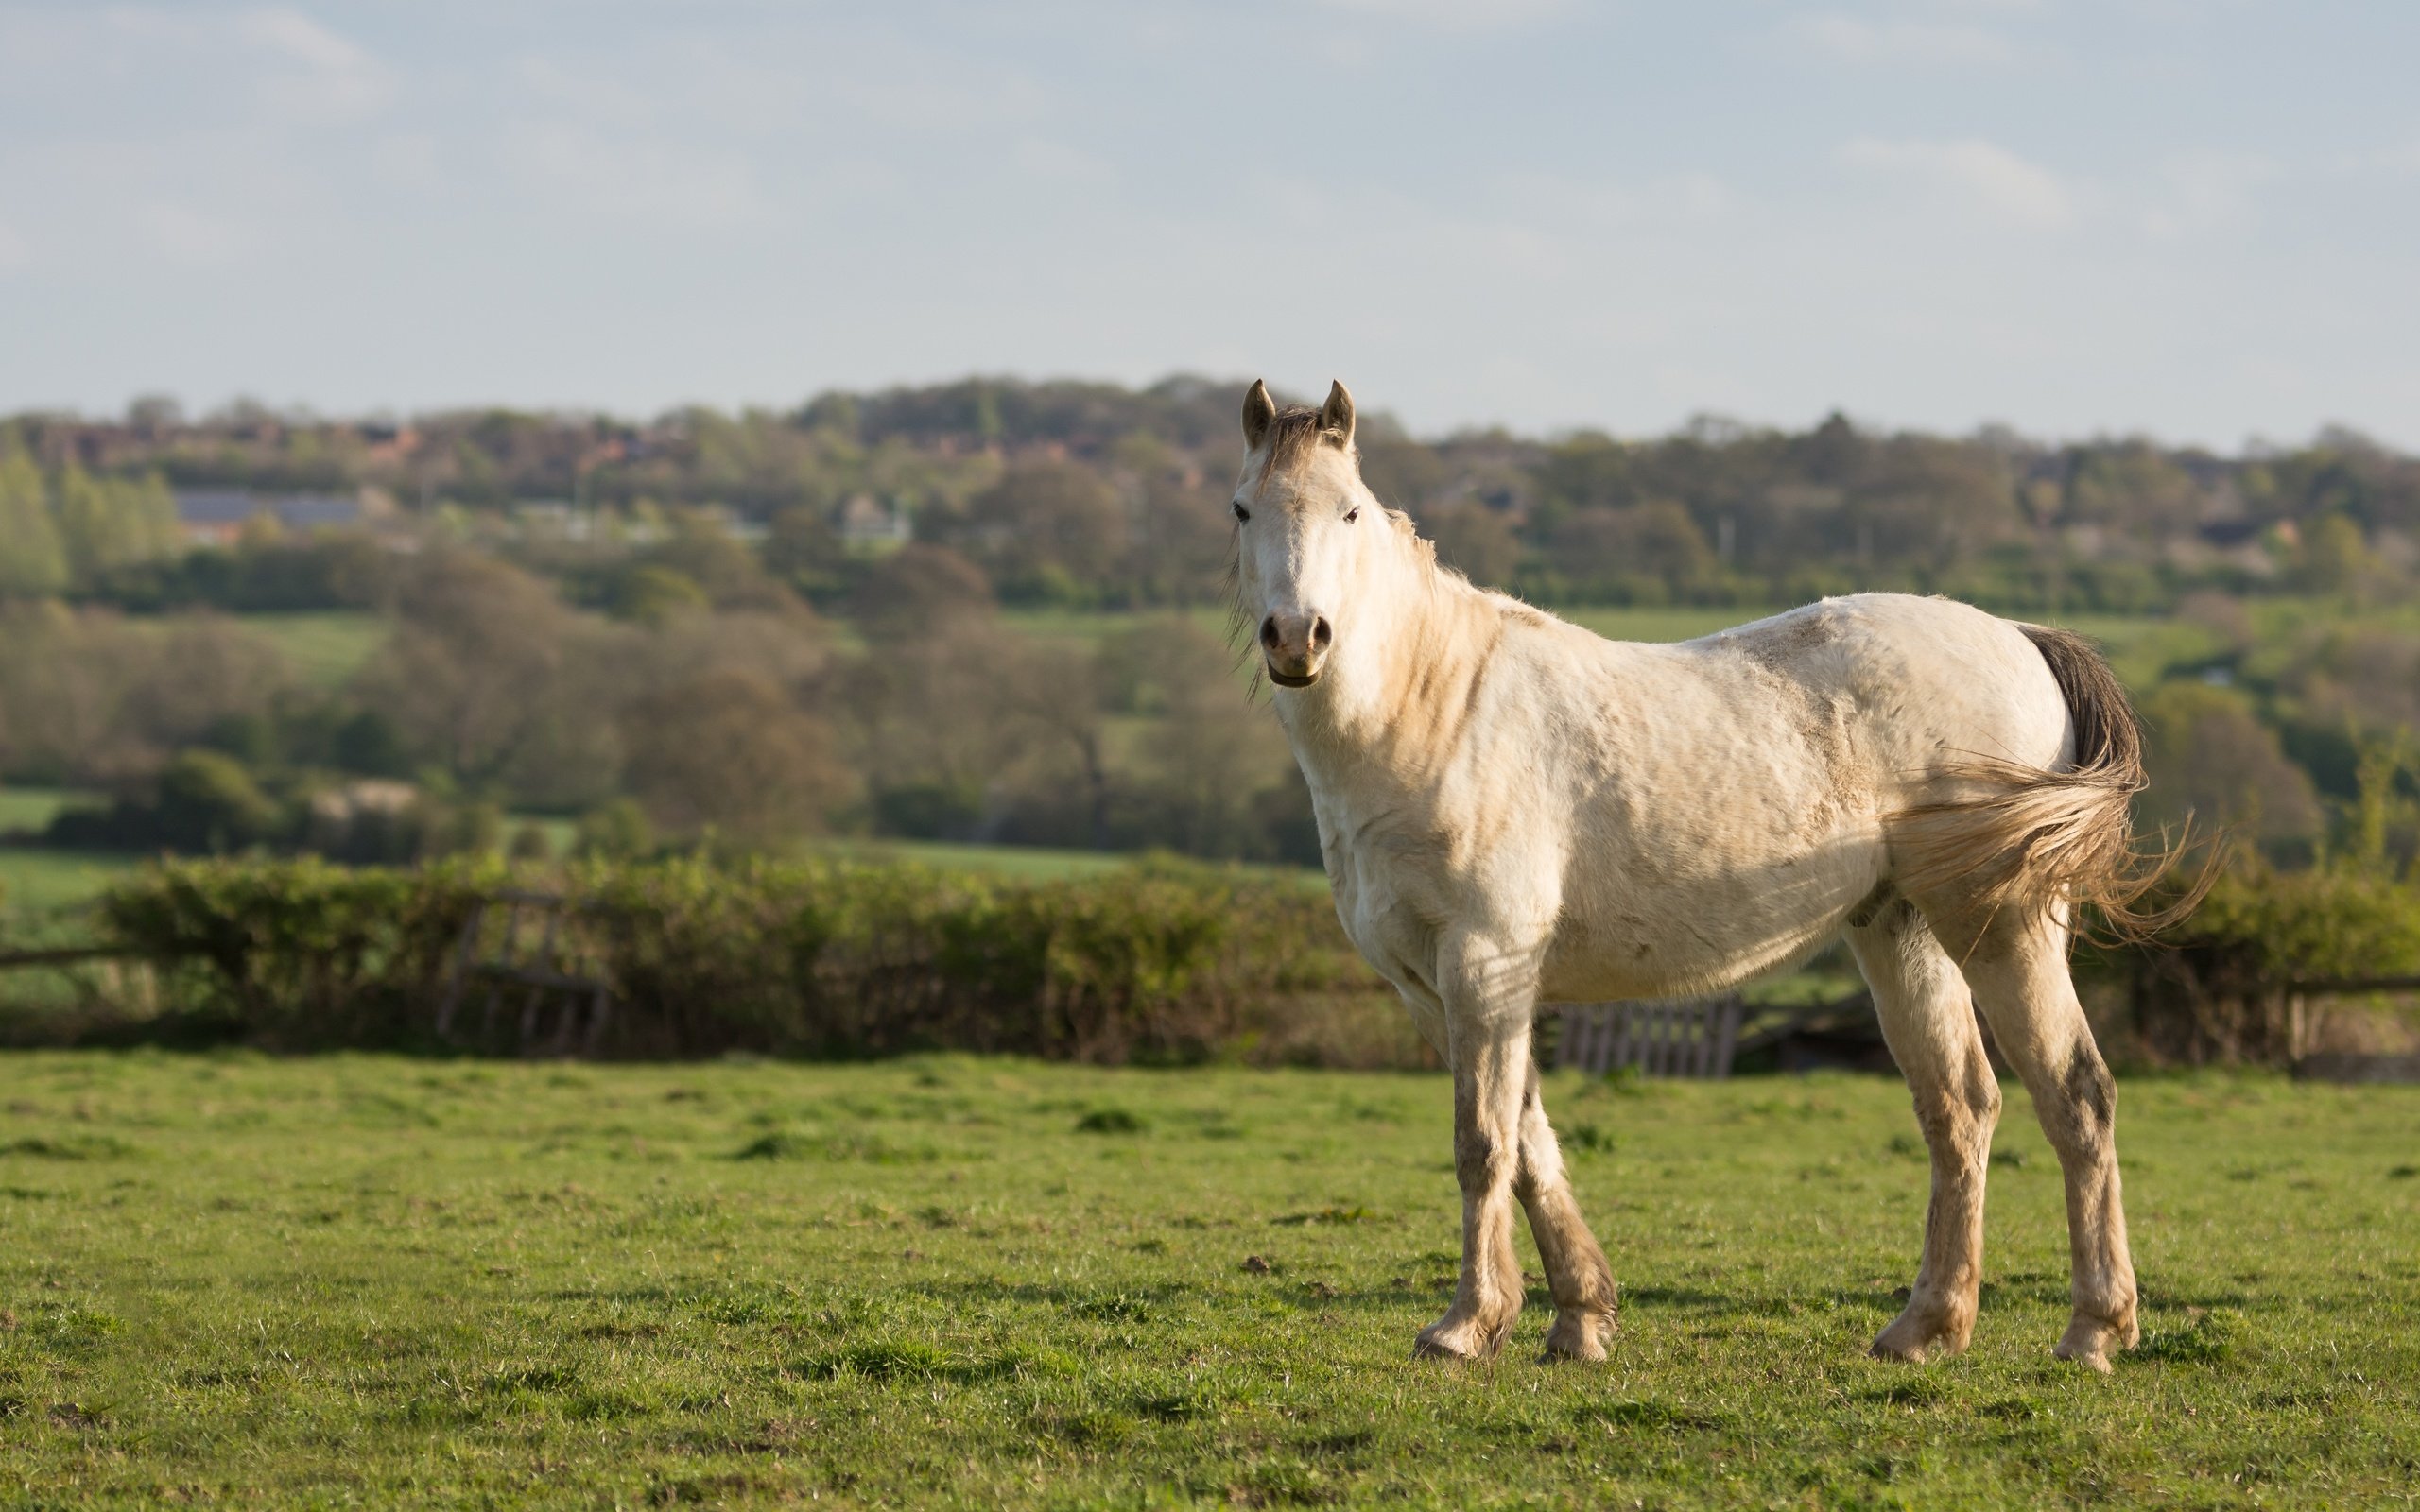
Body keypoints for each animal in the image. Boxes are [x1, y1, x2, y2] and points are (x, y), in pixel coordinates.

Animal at [1238, 374, 2187, 1364]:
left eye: (1349, 510)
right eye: (1242, 509)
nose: (1297, 638)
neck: (1437, 710)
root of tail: (2019, 635)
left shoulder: (1485, 965)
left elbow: (1484, 1145)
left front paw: (1467, 1326)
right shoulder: (1434, 987)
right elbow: (1531, 1145)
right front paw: (1579, 1320)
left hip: (2001, 927)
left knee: (2076, 1096)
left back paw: (2093, 1330)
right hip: (1903, 933)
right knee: (1960, 1108)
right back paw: (1924, 1328)